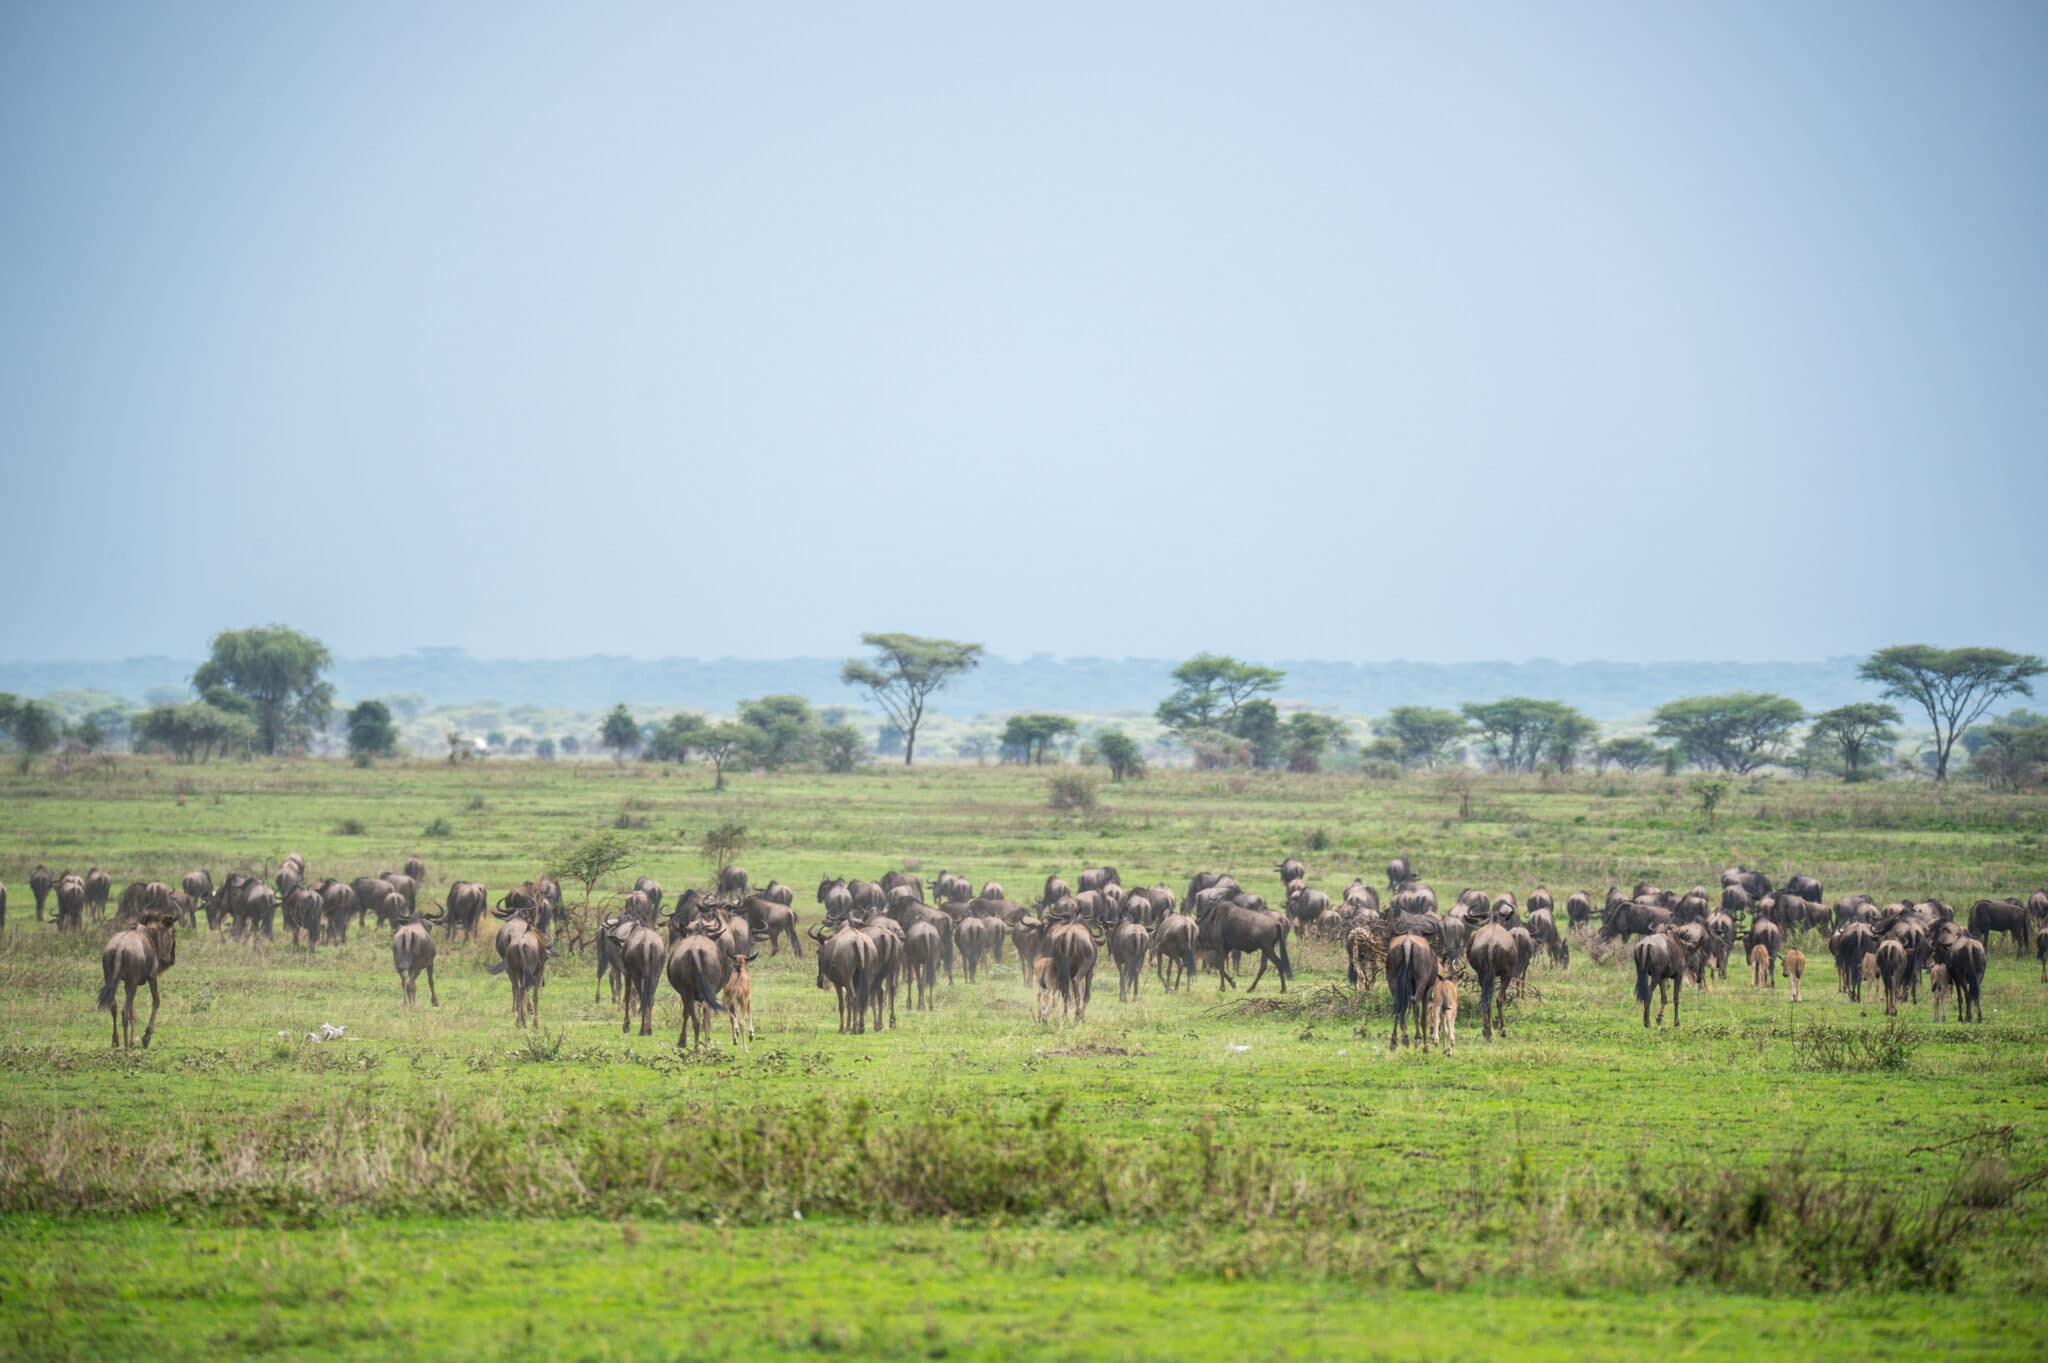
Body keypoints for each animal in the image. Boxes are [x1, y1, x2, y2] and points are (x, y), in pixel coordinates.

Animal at [98, 908, 178, 1043]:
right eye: (173, 931)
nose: (172, 959)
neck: (152, 936)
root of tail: (120, 947)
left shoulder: (127, 982)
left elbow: (133, 1013)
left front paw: (133, 1041)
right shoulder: (152, 977)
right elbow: (156, 1001)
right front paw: (146, 1037)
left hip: (111, 979)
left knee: (114, 1007)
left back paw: (116, 1041)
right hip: (133, 982)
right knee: (124, 1011)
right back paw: (125, 1046)